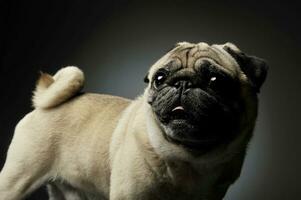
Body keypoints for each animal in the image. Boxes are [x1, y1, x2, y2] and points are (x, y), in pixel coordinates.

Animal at [0, 41, 268, 199]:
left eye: (215, 81)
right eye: (159, 78)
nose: (182, 83)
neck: (191, 158)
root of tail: (44, 105)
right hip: (16, 179)